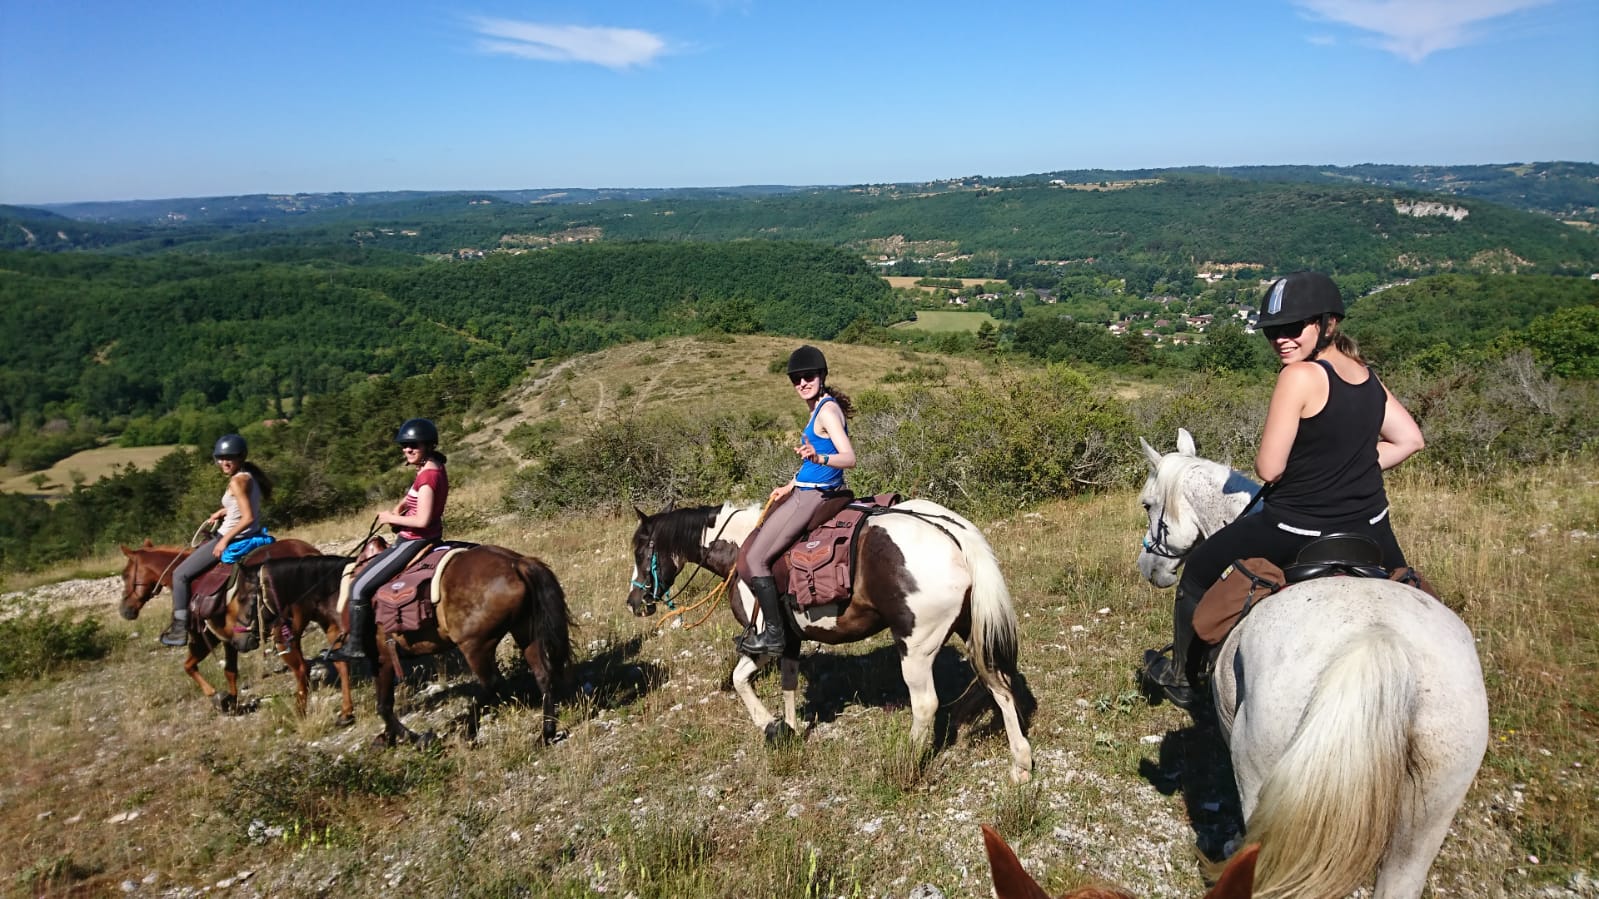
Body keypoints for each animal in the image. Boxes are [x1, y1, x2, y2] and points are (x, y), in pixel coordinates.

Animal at [116, 534, 318, 710]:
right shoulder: (228, 637)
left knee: (301, 669)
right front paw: (231, 702)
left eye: (125, 575)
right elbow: (229, 671)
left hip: (282, 632)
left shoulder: (205, 637)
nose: (125, 610)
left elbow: (189, 666)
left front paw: (214, 695)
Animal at [225, 543, 575, 745]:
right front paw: (389, 737)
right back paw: (545, 734)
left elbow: (383, 705)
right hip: (525, 632)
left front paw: (412, 737)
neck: (337, 593)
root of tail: (517, 563)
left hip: (476, 644)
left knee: (492, 685)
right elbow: (384, 704)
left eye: (242, 596)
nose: (239, 639)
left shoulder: (380, 657)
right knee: (542, 675)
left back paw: (465, 729)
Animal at [623, 492, 1036, 780]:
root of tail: (953, 533)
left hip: (916, 647)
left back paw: (903, 764)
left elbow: (741, 680)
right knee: (999, 685)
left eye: (642, 550)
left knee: (926, 705)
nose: (635, 602)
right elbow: (789, 684)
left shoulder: (763, 642)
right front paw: (790, 730)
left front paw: (770, 726)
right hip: (972, 633)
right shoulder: (789, 640)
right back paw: (1021, 762)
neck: (740, 550)